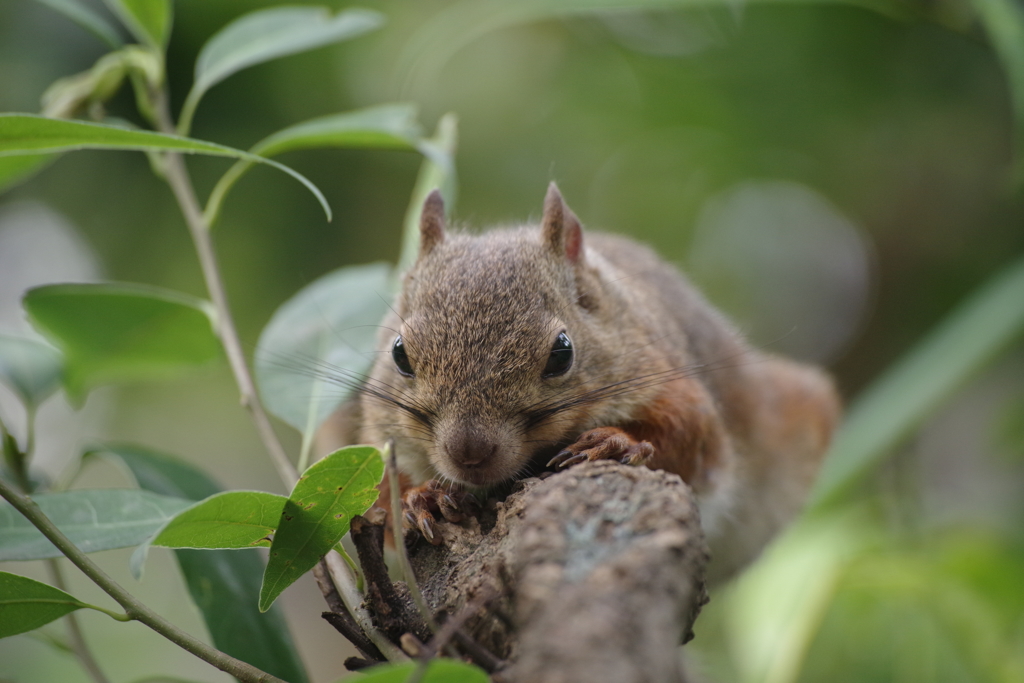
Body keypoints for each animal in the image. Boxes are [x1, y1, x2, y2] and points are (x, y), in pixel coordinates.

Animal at [321, 184, 839, 585]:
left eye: (562, 352)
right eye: (399, 353)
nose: (468, 453)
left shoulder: (668, 380)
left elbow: (694, 439)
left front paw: (612, 443)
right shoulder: (372, 440)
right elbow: (379, 502)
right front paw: (420, 498)